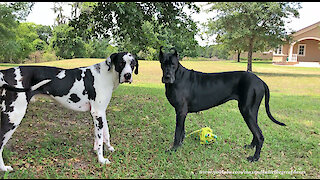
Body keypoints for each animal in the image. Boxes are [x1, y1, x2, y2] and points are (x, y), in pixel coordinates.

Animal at [0, 52, 137, 172]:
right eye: (121, 63)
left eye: (132, 64)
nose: (128, 76)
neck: (105, 74)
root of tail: (4, 72)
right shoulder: (97, 113)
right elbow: (99, 141)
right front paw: (101, 159)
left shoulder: (100, 113)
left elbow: (105, 134)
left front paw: (108, 148)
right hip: (14, 117)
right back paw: (4, 168)